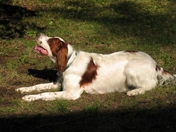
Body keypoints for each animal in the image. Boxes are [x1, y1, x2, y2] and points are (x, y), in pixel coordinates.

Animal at [15, 32, 175, 101]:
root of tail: (155, 64)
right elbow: (39, 86)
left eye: (50, 40)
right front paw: (24, 90)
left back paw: (134, 91)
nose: (38, 33)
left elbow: (46, 94)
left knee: (150, 85)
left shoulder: (71, 93)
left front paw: (29, 98)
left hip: (131, 67)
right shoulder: (57, 84)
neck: (69, 62)